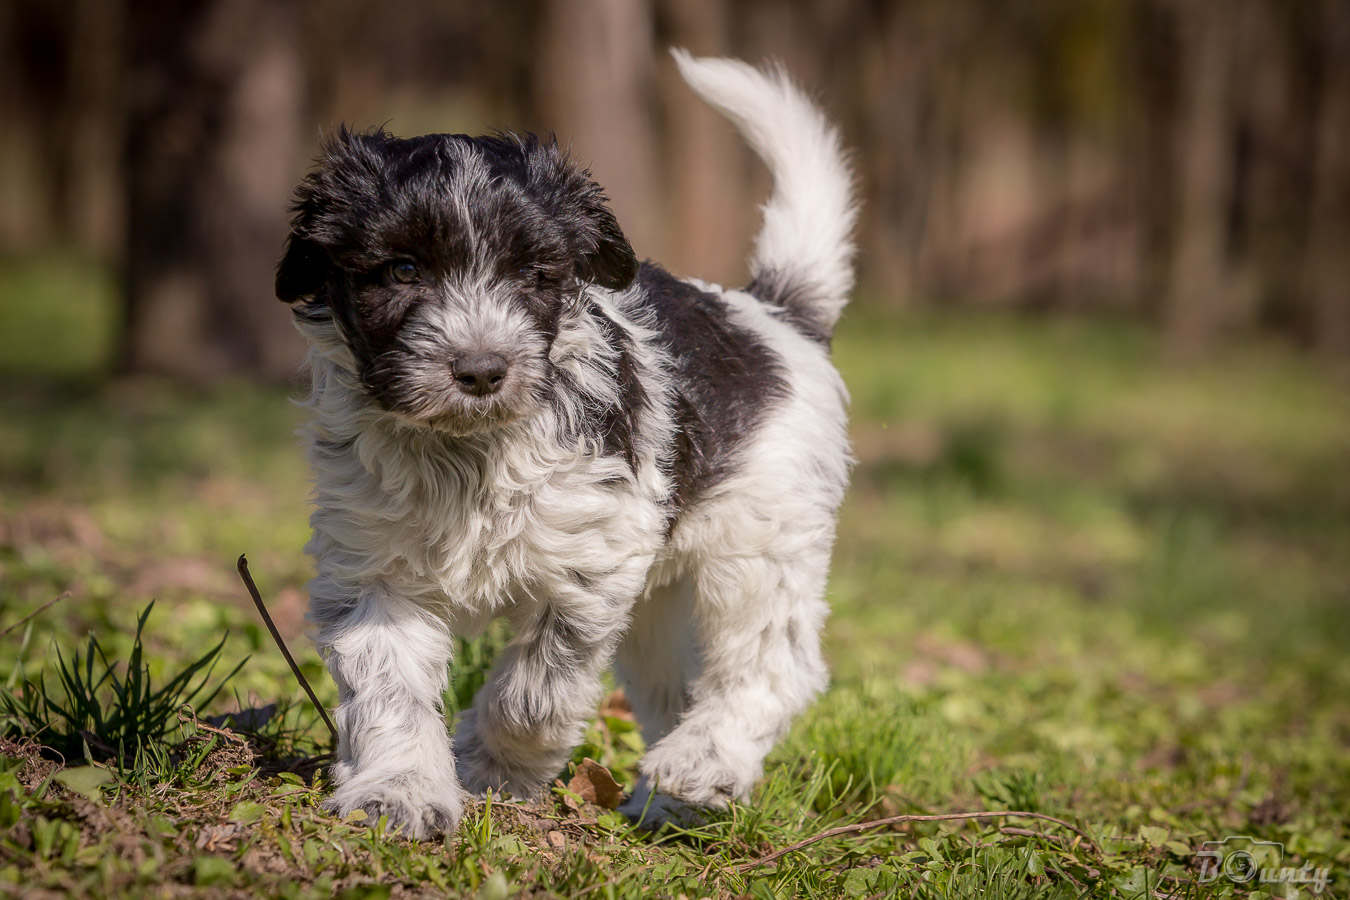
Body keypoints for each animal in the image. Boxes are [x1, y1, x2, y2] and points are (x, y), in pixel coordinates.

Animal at [274, 50, 856, 838]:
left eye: (533, 273)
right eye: (403, 270)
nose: (481, 370)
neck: (470, 452)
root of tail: (773, 314)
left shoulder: (594, 560)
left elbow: (536, 690)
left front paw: (489, 766)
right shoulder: (372, 571)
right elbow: (387, 688)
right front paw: (399, 792)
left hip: (764, 546)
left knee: (772, 664)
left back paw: (698, 765)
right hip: (661, 606)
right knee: (675, 684)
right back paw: (668, 803)